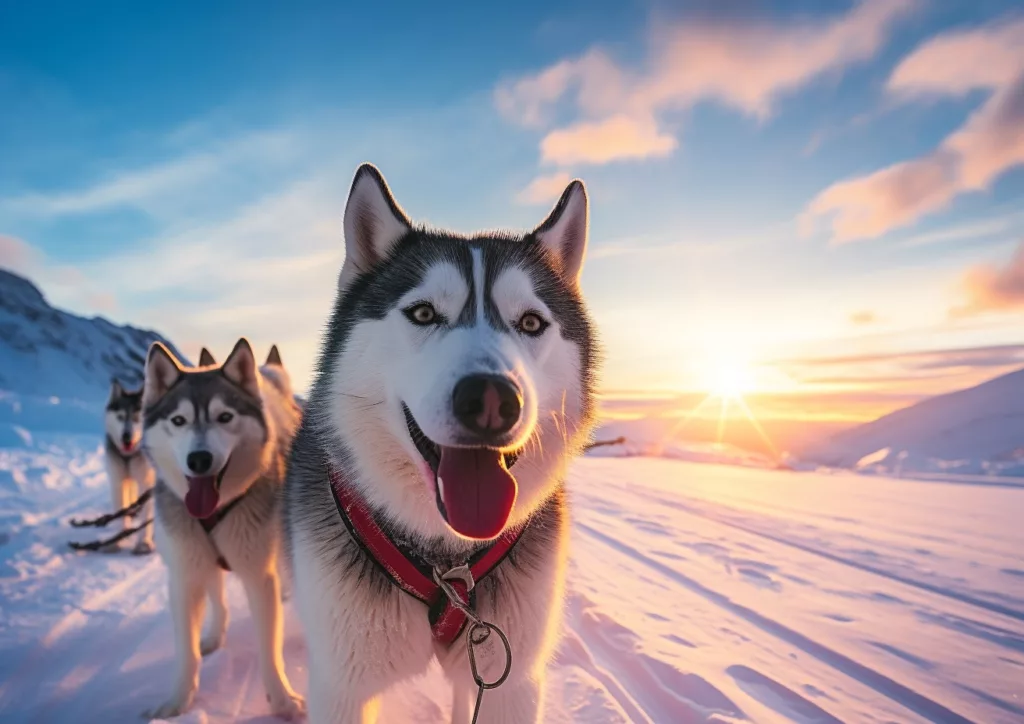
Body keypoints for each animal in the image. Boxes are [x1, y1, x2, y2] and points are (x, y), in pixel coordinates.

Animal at [102, 378, 154, 557]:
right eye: (120, 417)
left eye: (138, 418)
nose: (126, 436)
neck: (128, 457)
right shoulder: (118, 481)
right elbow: (120, 513)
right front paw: (117, 540)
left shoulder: (147, 483)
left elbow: (146, 517)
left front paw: (143, 543)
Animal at [143, 337, 303, 720]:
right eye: (179, 420)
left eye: (225, 417)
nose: (199, 459)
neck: (214, 509)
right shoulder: (184, 577)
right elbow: (186, 651)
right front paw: (178, 702)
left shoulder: (259, 574)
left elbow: (269, 646)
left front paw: (282, 700)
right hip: (202, 558)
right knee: (216, 590)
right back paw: (215, 634)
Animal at [284, 165, 598, 724]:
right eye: (424, 313)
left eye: (531, 322)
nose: (492, 399)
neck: (445, 560)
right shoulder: (342, 685)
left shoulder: (509, 681)